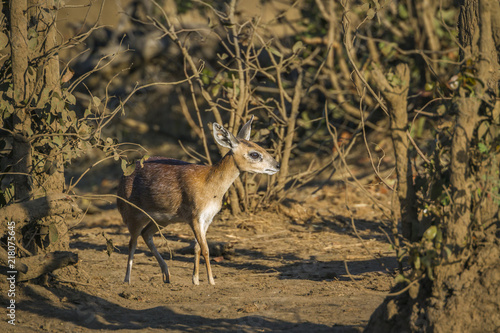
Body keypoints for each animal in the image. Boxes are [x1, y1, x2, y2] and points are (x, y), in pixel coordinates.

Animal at [118, 115, 282, 284]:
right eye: (254, 154)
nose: (277, 165)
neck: (210, 185)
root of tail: (121, 179)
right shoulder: (194, 216)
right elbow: (205, 249)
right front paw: (211, 281)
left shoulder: (208, 218)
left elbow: (197, 247)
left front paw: (195, 280)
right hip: (133, 214)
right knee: (132, 242)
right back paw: (127, 280)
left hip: (163, 219)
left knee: (146, 234)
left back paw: (166, 275)